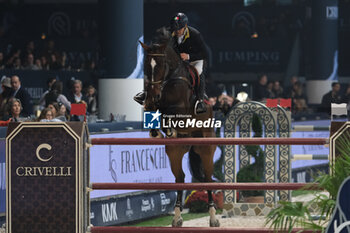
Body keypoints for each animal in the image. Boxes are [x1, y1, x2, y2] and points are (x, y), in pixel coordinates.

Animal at [139, 27, 219, 228]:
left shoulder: (180, 110)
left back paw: (213, 217)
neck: (169, 78)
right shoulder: (152, 102)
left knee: (207, 178)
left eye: (160, 65)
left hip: (206, 147)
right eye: (146, 66)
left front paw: (167, 129)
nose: (154, 94)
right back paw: (176, 217)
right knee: (180, 178)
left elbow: (168, 114)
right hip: (175, 151)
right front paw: (156, 132)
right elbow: (153, 110)